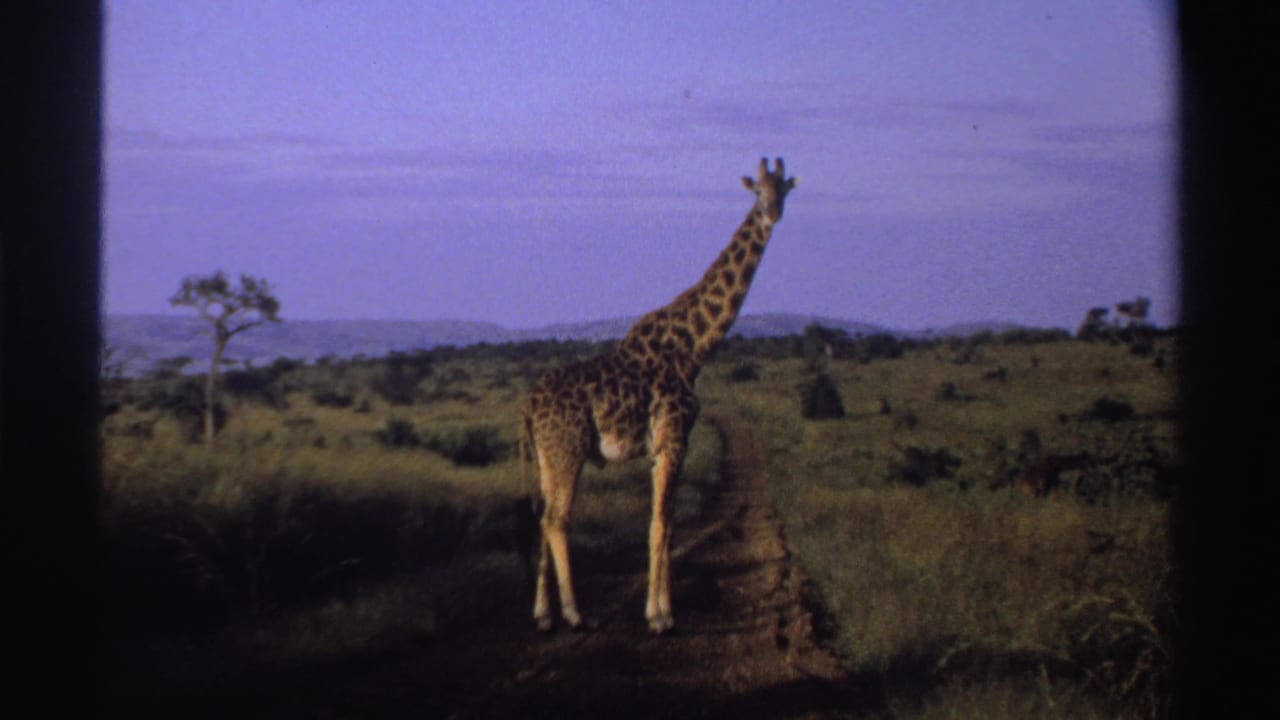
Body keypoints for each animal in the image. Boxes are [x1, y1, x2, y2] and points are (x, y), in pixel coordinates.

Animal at [519, 157, 796, 634]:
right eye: (758, 192)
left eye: (784, 191)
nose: (772, 214)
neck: (694, 347)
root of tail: (529, 406)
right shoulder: (672, 440)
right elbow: (660, 526)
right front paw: (659, 616)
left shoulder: (664, 447)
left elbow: (667, 526)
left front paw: (665, 609)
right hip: (568, 451)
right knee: (556, 520)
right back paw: (574, 613)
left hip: (546, 458)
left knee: (541, 518)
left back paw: (542, 615)